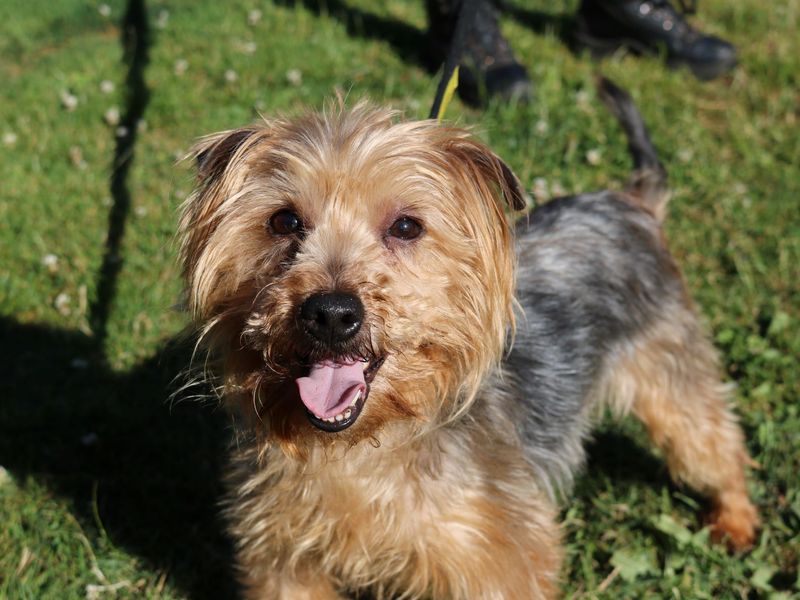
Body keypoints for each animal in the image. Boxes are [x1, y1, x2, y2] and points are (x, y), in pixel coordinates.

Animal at [178, 81, 760, 600]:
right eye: (283, 221)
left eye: (406, 227)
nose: (331, 312)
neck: (361, 447)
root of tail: (631, 203)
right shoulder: (285, 556)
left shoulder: (496, 557)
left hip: (670, 369)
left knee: (714, 441)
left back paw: (735, 522)